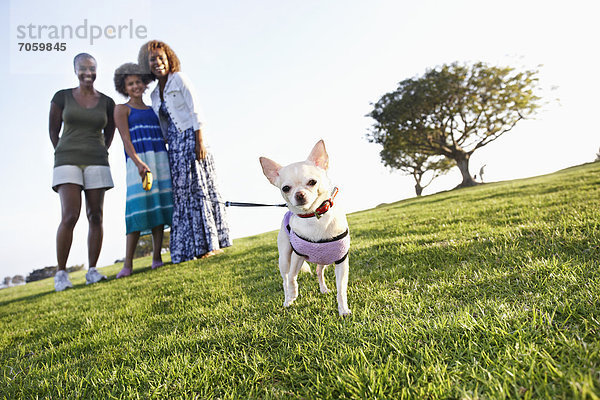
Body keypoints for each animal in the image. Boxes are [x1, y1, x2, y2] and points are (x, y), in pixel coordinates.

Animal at [258, 140, 352, 316]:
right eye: (286, 188)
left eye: (312, 182)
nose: (299, 194)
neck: (313, 216)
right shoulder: (298, 255)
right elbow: (292, 278)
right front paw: (293, 295)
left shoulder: (341, 260)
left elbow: (341, 289)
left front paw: (343, 310)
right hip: (284, 257)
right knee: (285, 278)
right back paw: (287, 300)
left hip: (324, 259)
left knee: (319, 272)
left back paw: (323, 289)